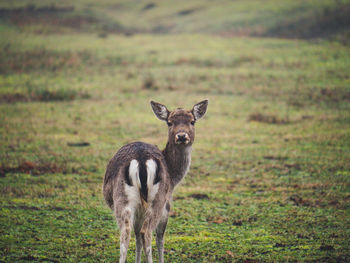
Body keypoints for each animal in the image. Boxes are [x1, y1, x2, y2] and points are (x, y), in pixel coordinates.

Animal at [103, 99, 208, 263]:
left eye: (192, 121)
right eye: (170, 122)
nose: (181, 136)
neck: (174, 176)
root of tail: (141, 159)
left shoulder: (139, 209)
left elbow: (137, 237)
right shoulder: (167, 204)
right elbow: (160, 238)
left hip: (122, 199)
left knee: (126, 234)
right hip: (157, 199)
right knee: (146, 232)